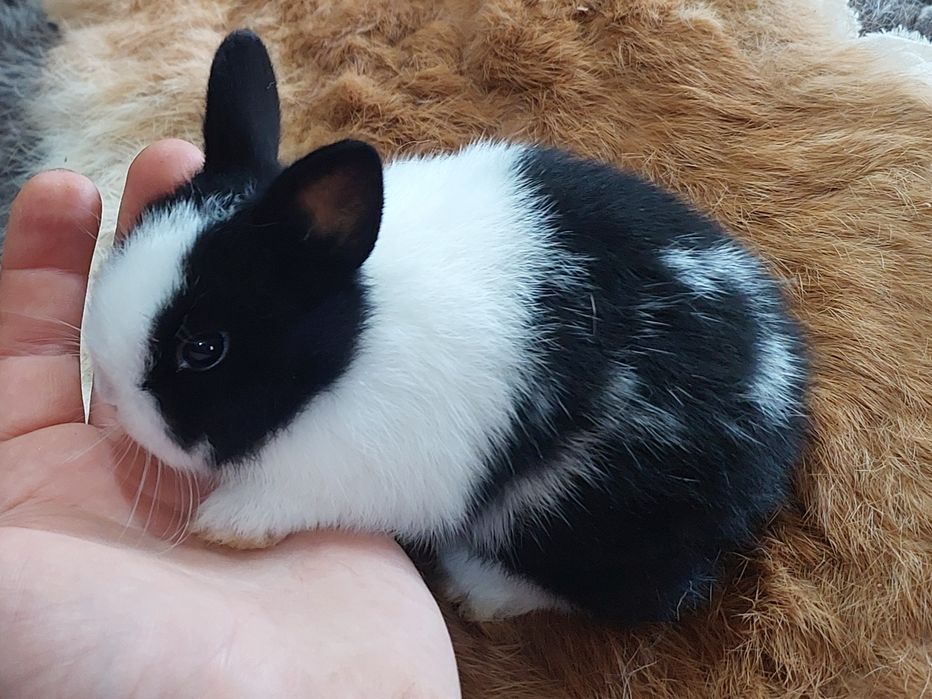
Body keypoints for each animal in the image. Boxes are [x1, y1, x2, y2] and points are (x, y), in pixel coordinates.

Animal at [83, 29, 808, 626]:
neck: (351, 343)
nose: (114, 403)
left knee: (644, 591)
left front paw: (227, 522)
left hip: (587, 507)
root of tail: (784, 416)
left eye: (204, 348)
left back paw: (478, 588)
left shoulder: (355, 467)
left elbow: (286, 495)